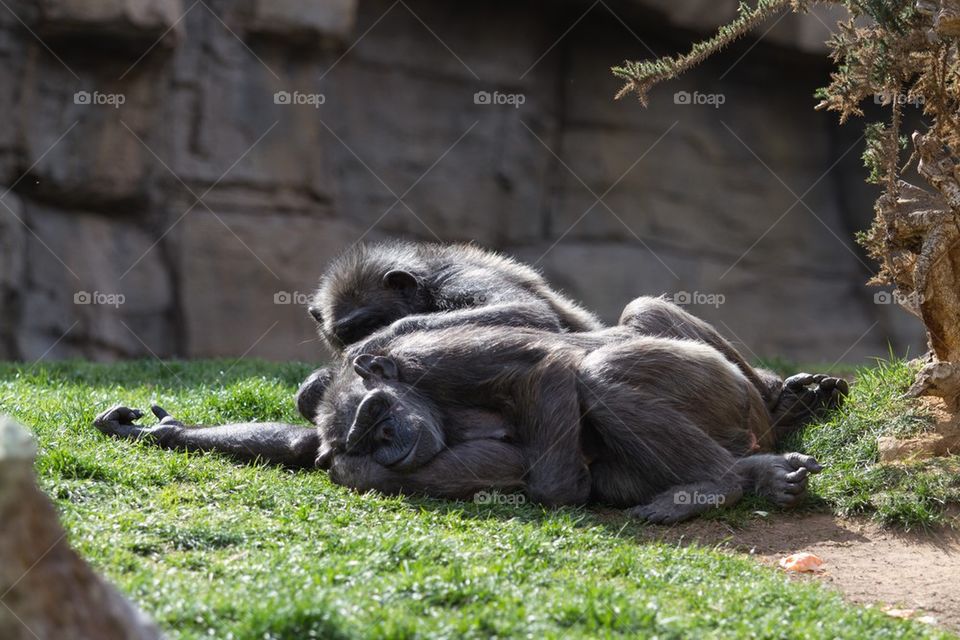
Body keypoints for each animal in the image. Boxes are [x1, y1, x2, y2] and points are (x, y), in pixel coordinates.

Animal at [94, 324, 822, 524]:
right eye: (366, 433)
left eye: (377, 415)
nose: (386, 441)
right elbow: (308, 446)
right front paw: (161, 431)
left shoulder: (432, 358)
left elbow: (544, 369)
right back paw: (760, 476)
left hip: (712, 381)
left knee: (599, 376)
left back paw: (717, 485)